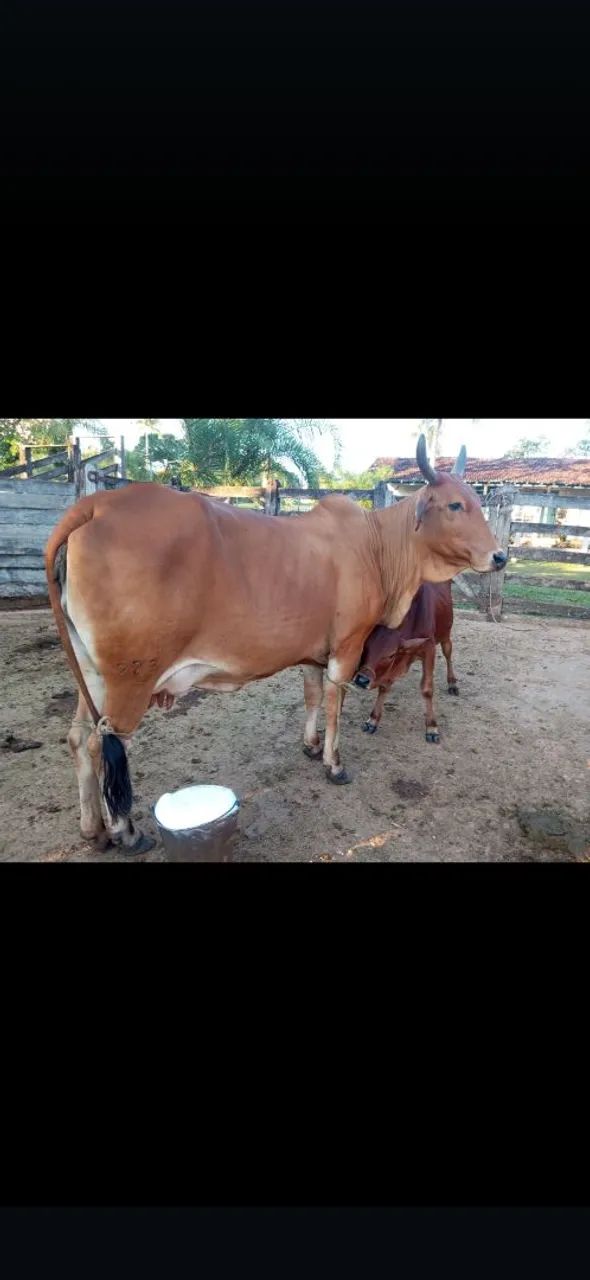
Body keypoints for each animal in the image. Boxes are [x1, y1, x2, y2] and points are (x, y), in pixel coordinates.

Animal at [353, 580, 457, 744]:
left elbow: (427, 690)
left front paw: (432, 727)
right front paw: (373, 720)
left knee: (448, 653)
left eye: (390, 655)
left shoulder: (429, 649)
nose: (361, 680)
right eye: (365, 647)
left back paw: (452, 683)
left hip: (445, 634)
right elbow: (384, 687)